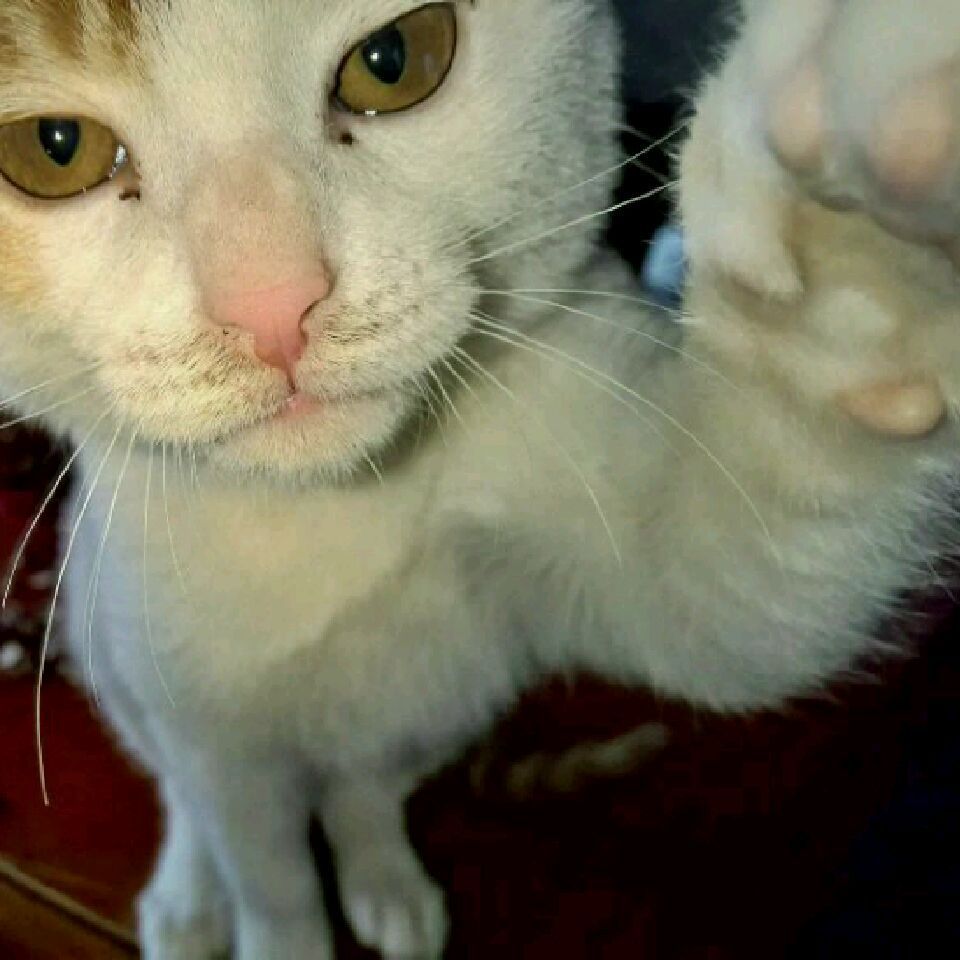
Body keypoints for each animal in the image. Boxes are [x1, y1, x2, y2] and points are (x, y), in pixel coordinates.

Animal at [2, 0, 960, 957]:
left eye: (394, 61)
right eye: (55, 149)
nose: (273, 306)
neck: (341, 501)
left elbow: (737, 592)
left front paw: (851, 232)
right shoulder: (218, 741)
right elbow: (266, 872)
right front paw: (273, 926)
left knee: (366, 780)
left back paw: (385, 877)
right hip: (102, 636)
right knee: (187, 789)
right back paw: (189, 898)